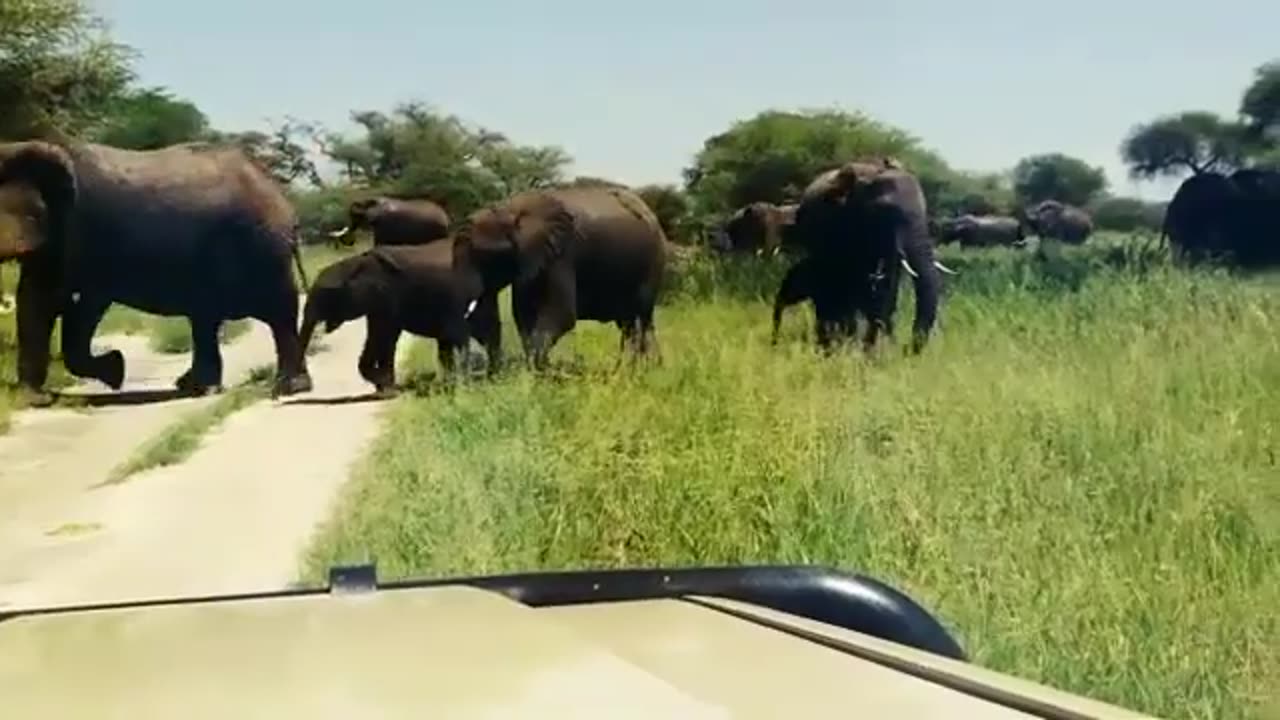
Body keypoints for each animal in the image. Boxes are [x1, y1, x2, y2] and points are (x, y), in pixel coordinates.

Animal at [0, 137, 313, 399]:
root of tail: (283, 199)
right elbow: (41, 299)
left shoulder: (76, 231)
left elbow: (60, 300)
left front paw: (114, 372)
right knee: (205, 318)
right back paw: (194, 387)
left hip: (262, 248)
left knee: (278, 312)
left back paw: (288, 388)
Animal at [298, 239, 499, 392]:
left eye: (326, 294)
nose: (308, 385)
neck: (353, 263)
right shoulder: (376, 304)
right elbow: (376, 337)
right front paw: (385, 386)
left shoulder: (387, 297)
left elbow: (385, 337)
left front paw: (387, 387)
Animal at [453, 184, 670, 366]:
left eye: (484, 256)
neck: (510, 210)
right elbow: (524, 315)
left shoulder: (561, 255)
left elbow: (561, 315)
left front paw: (537, 372)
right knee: (630, 324)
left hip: (653, 262)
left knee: (640, 320)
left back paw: (641, 369)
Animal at [778, 157, 952, 353]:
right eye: (885, 211)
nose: (905, 348)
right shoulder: (836, 225)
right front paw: (846, 347)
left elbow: (885, 293)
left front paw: (870, 352)